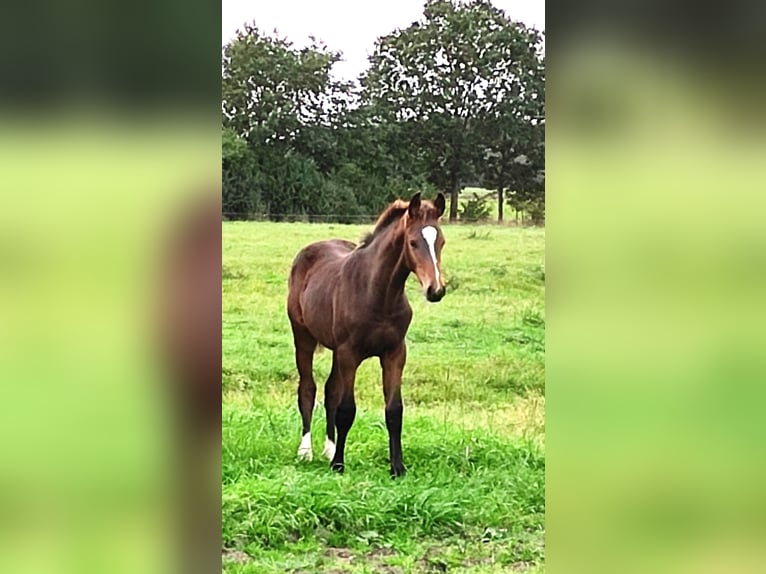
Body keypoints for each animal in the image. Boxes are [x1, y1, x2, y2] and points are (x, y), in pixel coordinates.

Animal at [284, 194, 448, 476]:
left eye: (441, 241)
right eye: (413, 242)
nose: (435, 290)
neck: (379, 294)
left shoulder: (394, 353)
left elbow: (394, 410)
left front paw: (397, 468)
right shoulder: (350, 353)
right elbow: (347, 409)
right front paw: (338, 465)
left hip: (335, 350)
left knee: (330, 391)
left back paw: (329, 449)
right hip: (303, 337)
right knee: (308, 388)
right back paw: (306, 452)